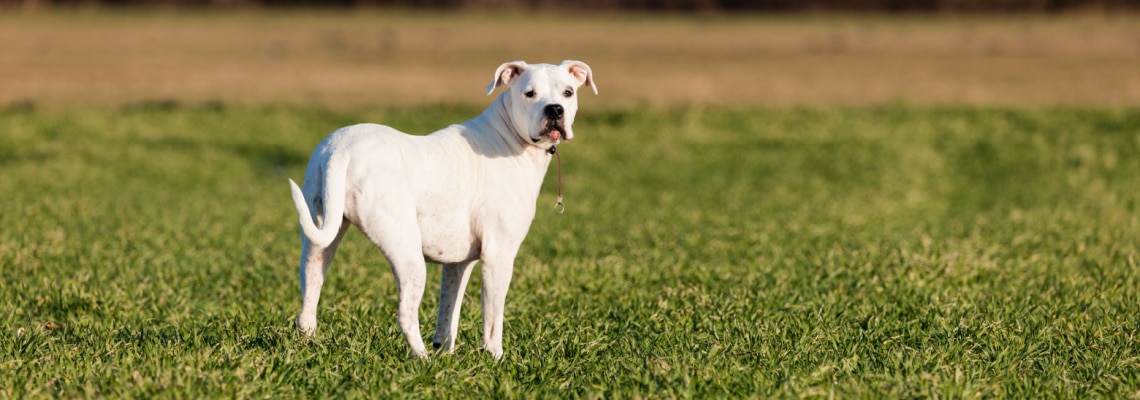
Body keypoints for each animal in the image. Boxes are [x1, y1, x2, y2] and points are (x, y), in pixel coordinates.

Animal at [289, 60, 597, 360]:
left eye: (568, 92)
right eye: (529, 93)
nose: (555, 109)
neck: (509, 135)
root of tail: (342, 150)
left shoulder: (459, 264)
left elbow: (449, 315)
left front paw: (445, 355)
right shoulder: (498, 255)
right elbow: (492, 319)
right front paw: (495, 359)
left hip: (319, 242)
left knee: (308, 301)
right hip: (407, 253)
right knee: (406, 314)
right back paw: (422, 360)